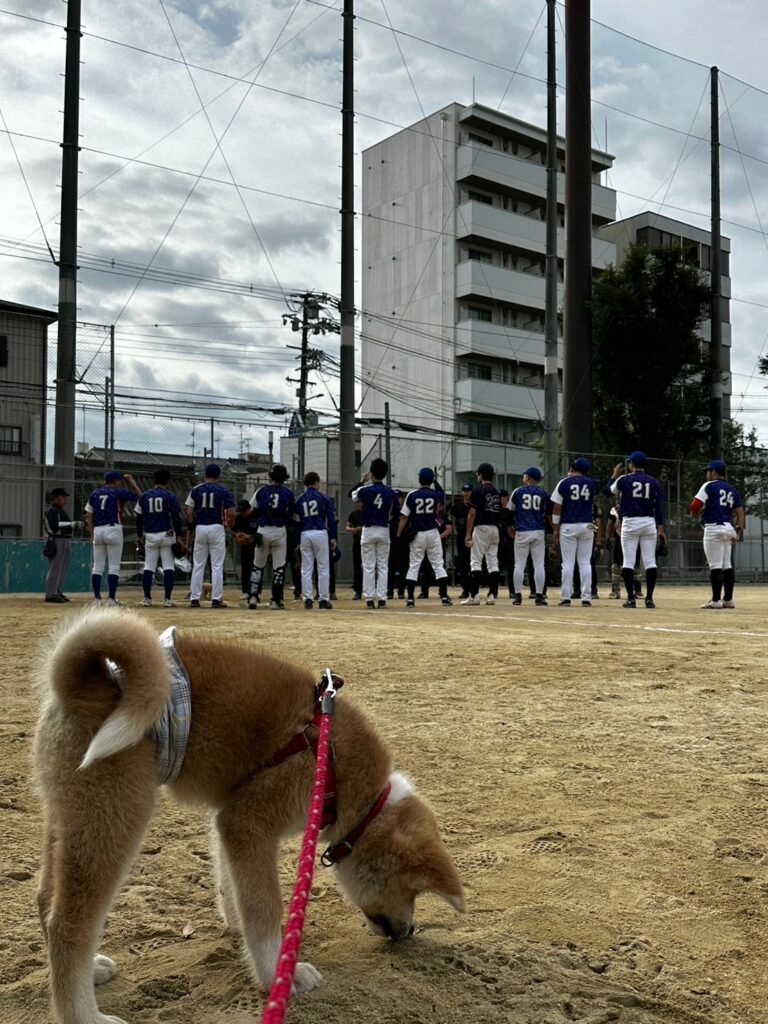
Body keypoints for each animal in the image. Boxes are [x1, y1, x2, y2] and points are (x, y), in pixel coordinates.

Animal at [34, 610, 462, 1019]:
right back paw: (86, 1014)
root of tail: (85, 682)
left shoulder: (230, 818)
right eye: (412, 889)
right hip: (117, 815)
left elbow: (234, 887)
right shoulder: (250, 822)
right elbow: (264, 907)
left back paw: (91, 969)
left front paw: (237, 927)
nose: (410, 931)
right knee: (67, 926)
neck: (333, 760)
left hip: (70, 817)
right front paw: (278, 973)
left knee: (45, 899)